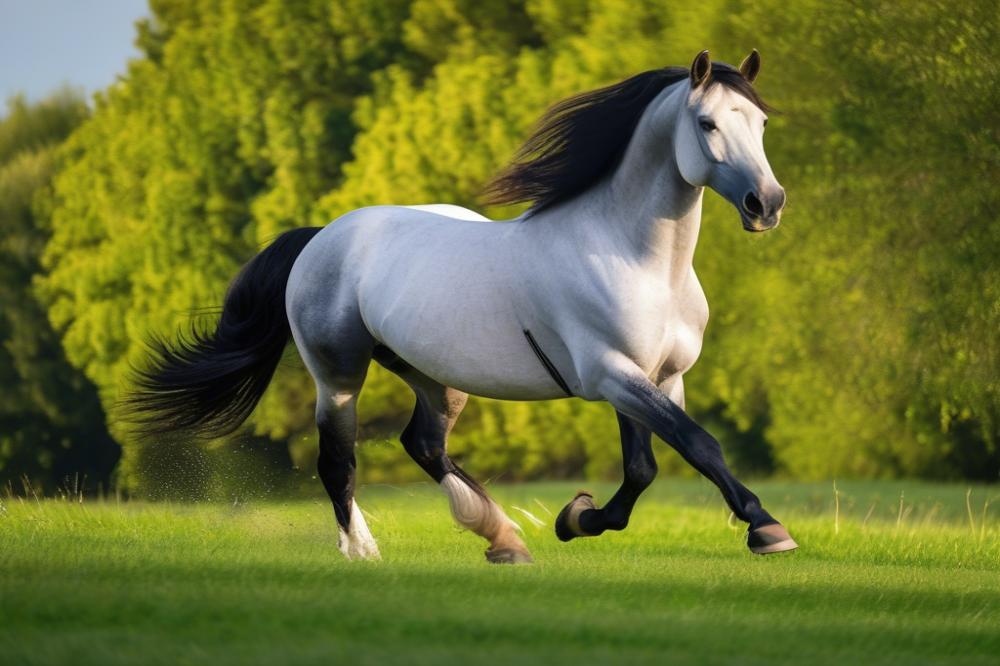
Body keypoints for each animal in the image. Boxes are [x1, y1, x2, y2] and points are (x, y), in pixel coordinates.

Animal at [131, 50, 795, 563]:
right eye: (707, 124)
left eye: (762, 122)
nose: (766, 204)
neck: (632, 256)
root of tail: (323, 236)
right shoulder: (613, 374)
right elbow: (697, 445)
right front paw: (768, 529)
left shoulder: (658, 377)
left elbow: (647, 467)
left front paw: (574, 517)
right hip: (338, 374)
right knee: (337, 460)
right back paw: (364, 552)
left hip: (435, 378)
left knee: (424, 445)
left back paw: (503, 537)